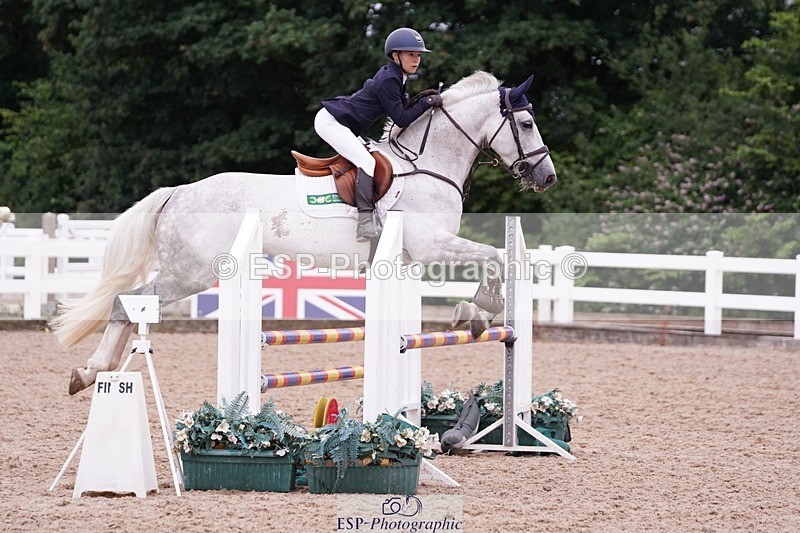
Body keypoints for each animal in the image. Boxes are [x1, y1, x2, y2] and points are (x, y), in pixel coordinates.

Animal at [51, 70, 557, 395]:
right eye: (527, 123)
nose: (547, 177)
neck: (427, 165)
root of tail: (177, 192)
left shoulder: (415, 258)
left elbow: (493, 257)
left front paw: (476, 312)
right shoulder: (431, 245)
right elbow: (494, 255)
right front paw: (476, 312)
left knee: (129, 301)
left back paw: (94, 372)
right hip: (189, 272)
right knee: (127, 301)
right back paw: (92, 371)